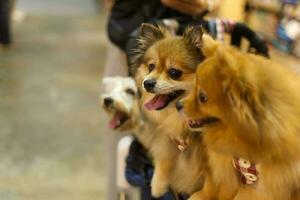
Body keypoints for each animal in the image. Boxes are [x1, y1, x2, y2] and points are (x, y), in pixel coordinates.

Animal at [130, 23, 207, 197]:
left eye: (174, 72)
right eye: (151, 67)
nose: (147, 83)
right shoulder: (167, 141)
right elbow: (165, 159)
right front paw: (158, 184)